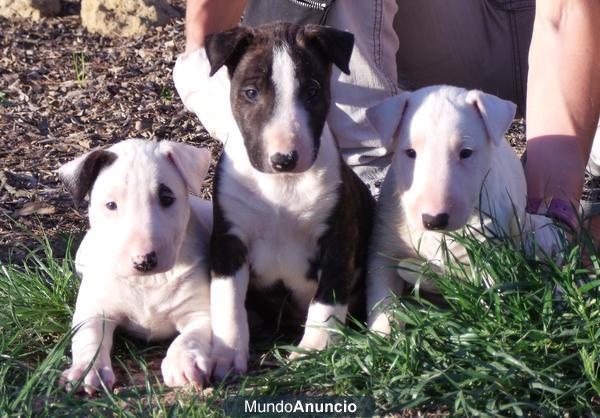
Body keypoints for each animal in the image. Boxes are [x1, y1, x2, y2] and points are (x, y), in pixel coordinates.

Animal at [58, 139, 213, 394]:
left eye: (166, 197)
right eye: (111, 205)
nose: (144, 260)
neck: (147, 281)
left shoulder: (201, 312)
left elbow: (190, 336)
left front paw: (183, 362)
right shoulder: (94, 310)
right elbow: (89, 336)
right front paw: (88, 370)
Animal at [205, 21, 376, 378]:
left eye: (312, 90)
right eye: (251, 92)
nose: (284, 158)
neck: (282, 187)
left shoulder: (339, 239)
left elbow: (327, 300)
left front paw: (314, 349)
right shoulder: (228, 242)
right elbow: (227, 301)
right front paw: (226, 355)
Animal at [366, 85, 564, 336]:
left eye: (466, 152)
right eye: (410, 152)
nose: (434, 220)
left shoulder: (487, 245)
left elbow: (493, 285)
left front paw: (496, 328)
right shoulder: (383, 248)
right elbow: (382, 298)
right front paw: (385, 336)